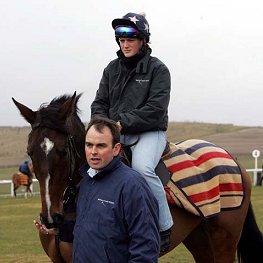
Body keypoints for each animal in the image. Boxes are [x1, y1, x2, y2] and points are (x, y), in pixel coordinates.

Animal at [12, 93, 263, 263]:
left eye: (63, 151)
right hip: (199, 239)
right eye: (30, 152)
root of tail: (231, 159)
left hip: (224, 240)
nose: (50, 219)